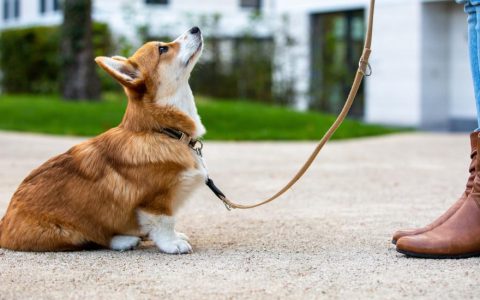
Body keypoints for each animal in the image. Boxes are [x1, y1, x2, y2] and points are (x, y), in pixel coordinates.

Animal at [0, 26, 207, 253]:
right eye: (163, 49)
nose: (195, 28)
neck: (161, 130)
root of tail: (3, 226)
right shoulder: (155, 200)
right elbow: (165, 222)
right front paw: (172, 243)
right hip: (69, 232)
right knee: (93, 239)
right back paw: (124, 240)